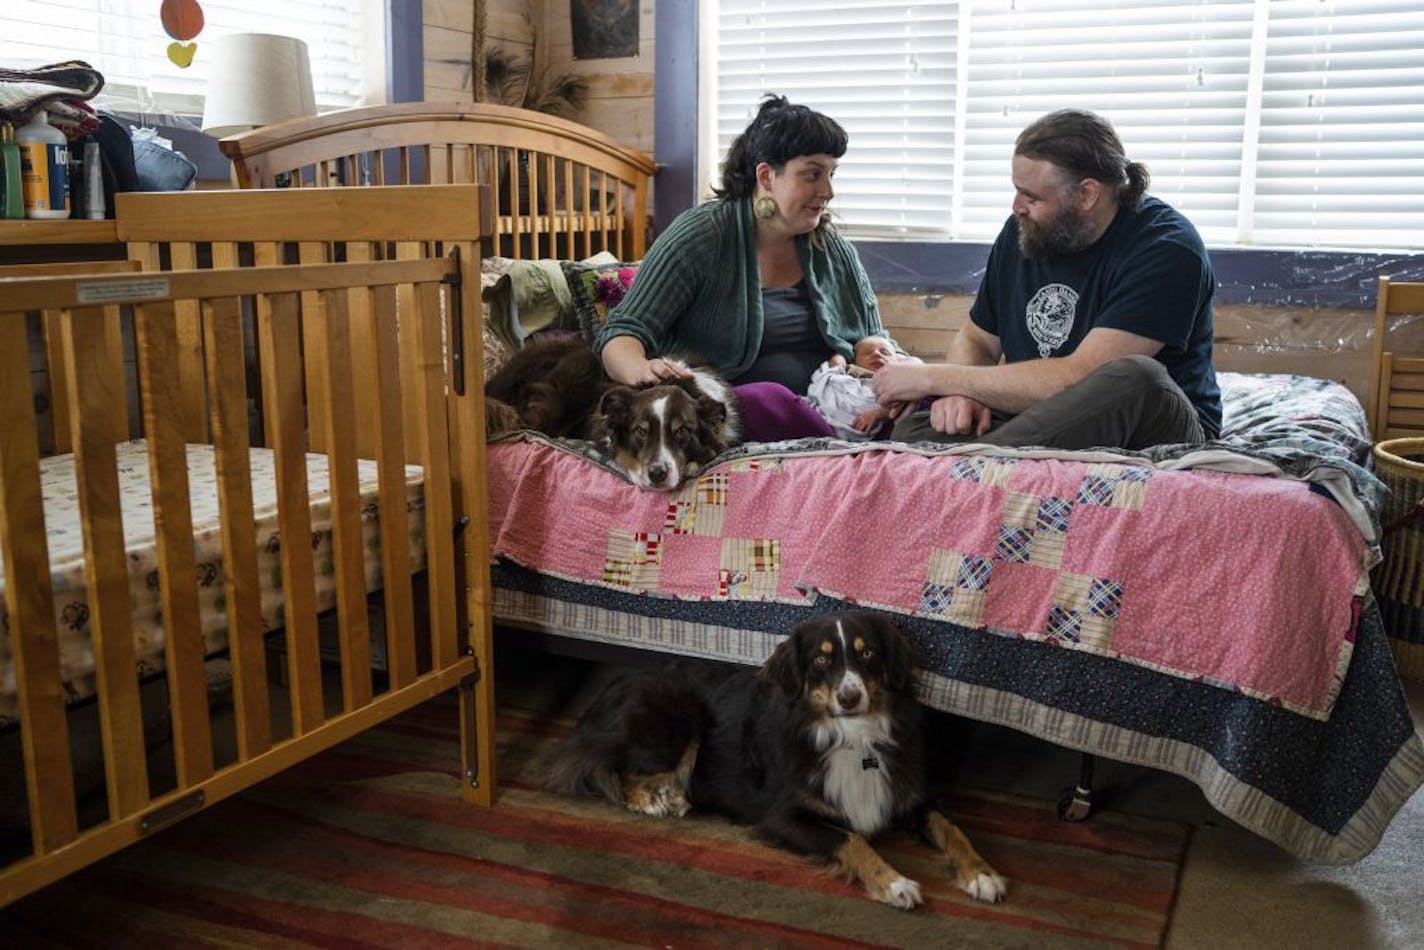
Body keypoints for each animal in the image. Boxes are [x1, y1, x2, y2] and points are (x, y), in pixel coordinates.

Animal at [541, 612, 1002, 911]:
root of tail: (619, 682)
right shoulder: (783, 816)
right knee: (605, 767)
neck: (853, 740)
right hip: (676, 713)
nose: (849, 697)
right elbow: (852, 839)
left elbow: (953, 829)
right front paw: (895, 883)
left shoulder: (907, 793)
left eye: (867, 654)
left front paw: (981, 873)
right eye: (821, 659)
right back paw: (655, 800)